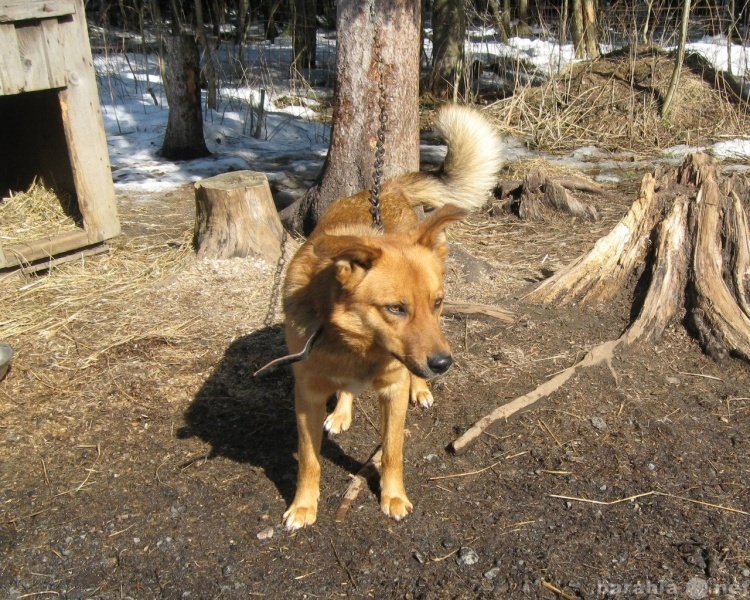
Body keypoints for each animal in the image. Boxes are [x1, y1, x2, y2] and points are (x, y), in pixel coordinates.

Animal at [282, 104, 506, 528]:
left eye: (436, 303)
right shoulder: (306, 395)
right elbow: (309, 460)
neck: (356, 346)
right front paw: (303, 505)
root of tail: (386, 188)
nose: (444, 364)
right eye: (396, 309)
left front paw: (393, 496)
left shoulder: (393, 391)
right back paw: (343, 411)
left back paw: (421, 389)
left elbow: (391, 451)